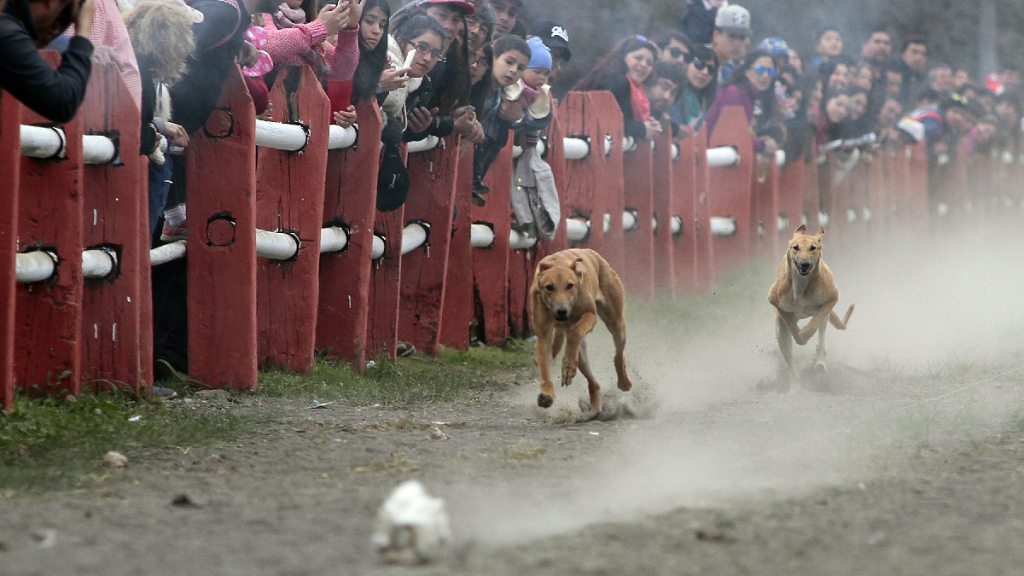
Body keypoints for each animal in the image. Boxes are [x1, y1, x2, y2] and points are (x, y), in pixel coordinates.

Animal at [532, 248, 626, 412]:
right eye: (549, 287)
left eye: (570, 285)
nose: (561, 311)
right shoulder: (543, 334)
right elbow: (544, 365)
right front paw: (547, 394)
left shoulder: (590, 315)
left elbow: (575, 332)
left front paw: (568, 365)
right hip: (582, 356)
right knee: (594, 382)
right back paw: (595, 410)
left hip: (616, 323)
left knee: (618, 355)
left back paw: (624, 382)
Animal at [770, 223, 856, 389]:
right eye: (796, 247)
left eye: (813, 247)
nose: (804, 264)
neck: (801, 286)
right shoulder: (775, 302)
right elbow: (793, 328)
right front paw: (800, 335)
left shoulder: (831, 299)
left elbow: (814, 324)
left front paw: (806, 334)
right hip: (780, 332)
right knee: (790, 357)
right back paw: (795, 387)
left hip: (824, 313)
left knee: (821, 333)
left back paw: (820, 361)